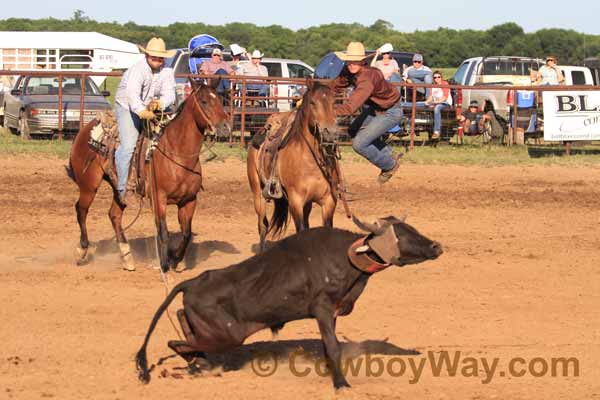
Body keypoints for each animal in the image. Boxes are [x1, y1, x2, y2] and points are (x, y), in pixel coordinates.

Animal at [66, 78, 230, 272]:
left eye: (220, 100)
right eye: (204, 101)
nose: (226, 127)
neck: (177, 153)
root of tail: (84, 131)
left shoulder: (189, 200)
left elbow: (186, 233)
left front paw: (176, 259)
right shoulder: (158, 199)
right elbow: (164, 232)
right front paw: (165, 264)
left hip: (118, 188)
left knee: (114, 215)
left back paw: (127, 257)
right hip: (89, 185)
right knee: (81, 210)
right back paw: (82, 250)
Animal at [247, 79, 340, 252]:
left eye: (334, 102)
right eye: (313, 103)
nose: (330, 133)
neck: (311, 162)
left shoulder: (329, 201)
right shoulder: (295, 201)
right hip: (258, 194)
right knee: (262, 225)